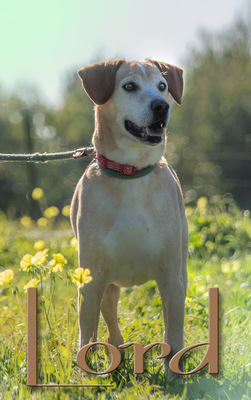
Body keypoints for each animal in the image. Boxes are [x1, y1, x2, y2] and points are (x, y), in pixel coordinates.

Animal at [70, 57, 188, 376]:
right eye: (129, 86)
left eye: (162, 86)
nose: (162, 105)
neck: (131, 172)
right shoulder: (91, 279)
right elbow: (87, 332)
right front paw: (87, 375)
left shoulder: (172, 275)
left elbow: (174, 331)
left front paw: (174, 375)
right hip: (107, 285)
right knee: (109, 317)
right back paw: (116, 352)